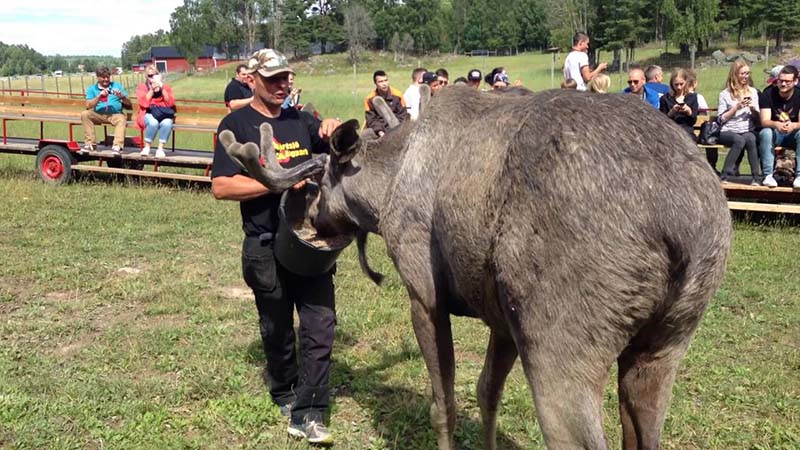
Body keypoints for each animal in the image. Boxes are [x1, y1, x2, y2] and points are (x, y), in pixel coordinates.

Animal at [223, 85, 732, 450]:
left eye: (317, 184)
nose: (308, 217)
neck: (384, 191)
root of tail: (684, 221)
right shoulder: (503, 316)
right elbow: (488, 392)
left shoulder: (424, 292)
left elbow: (443, 402)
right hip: (667, 341)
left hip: (559, 342)